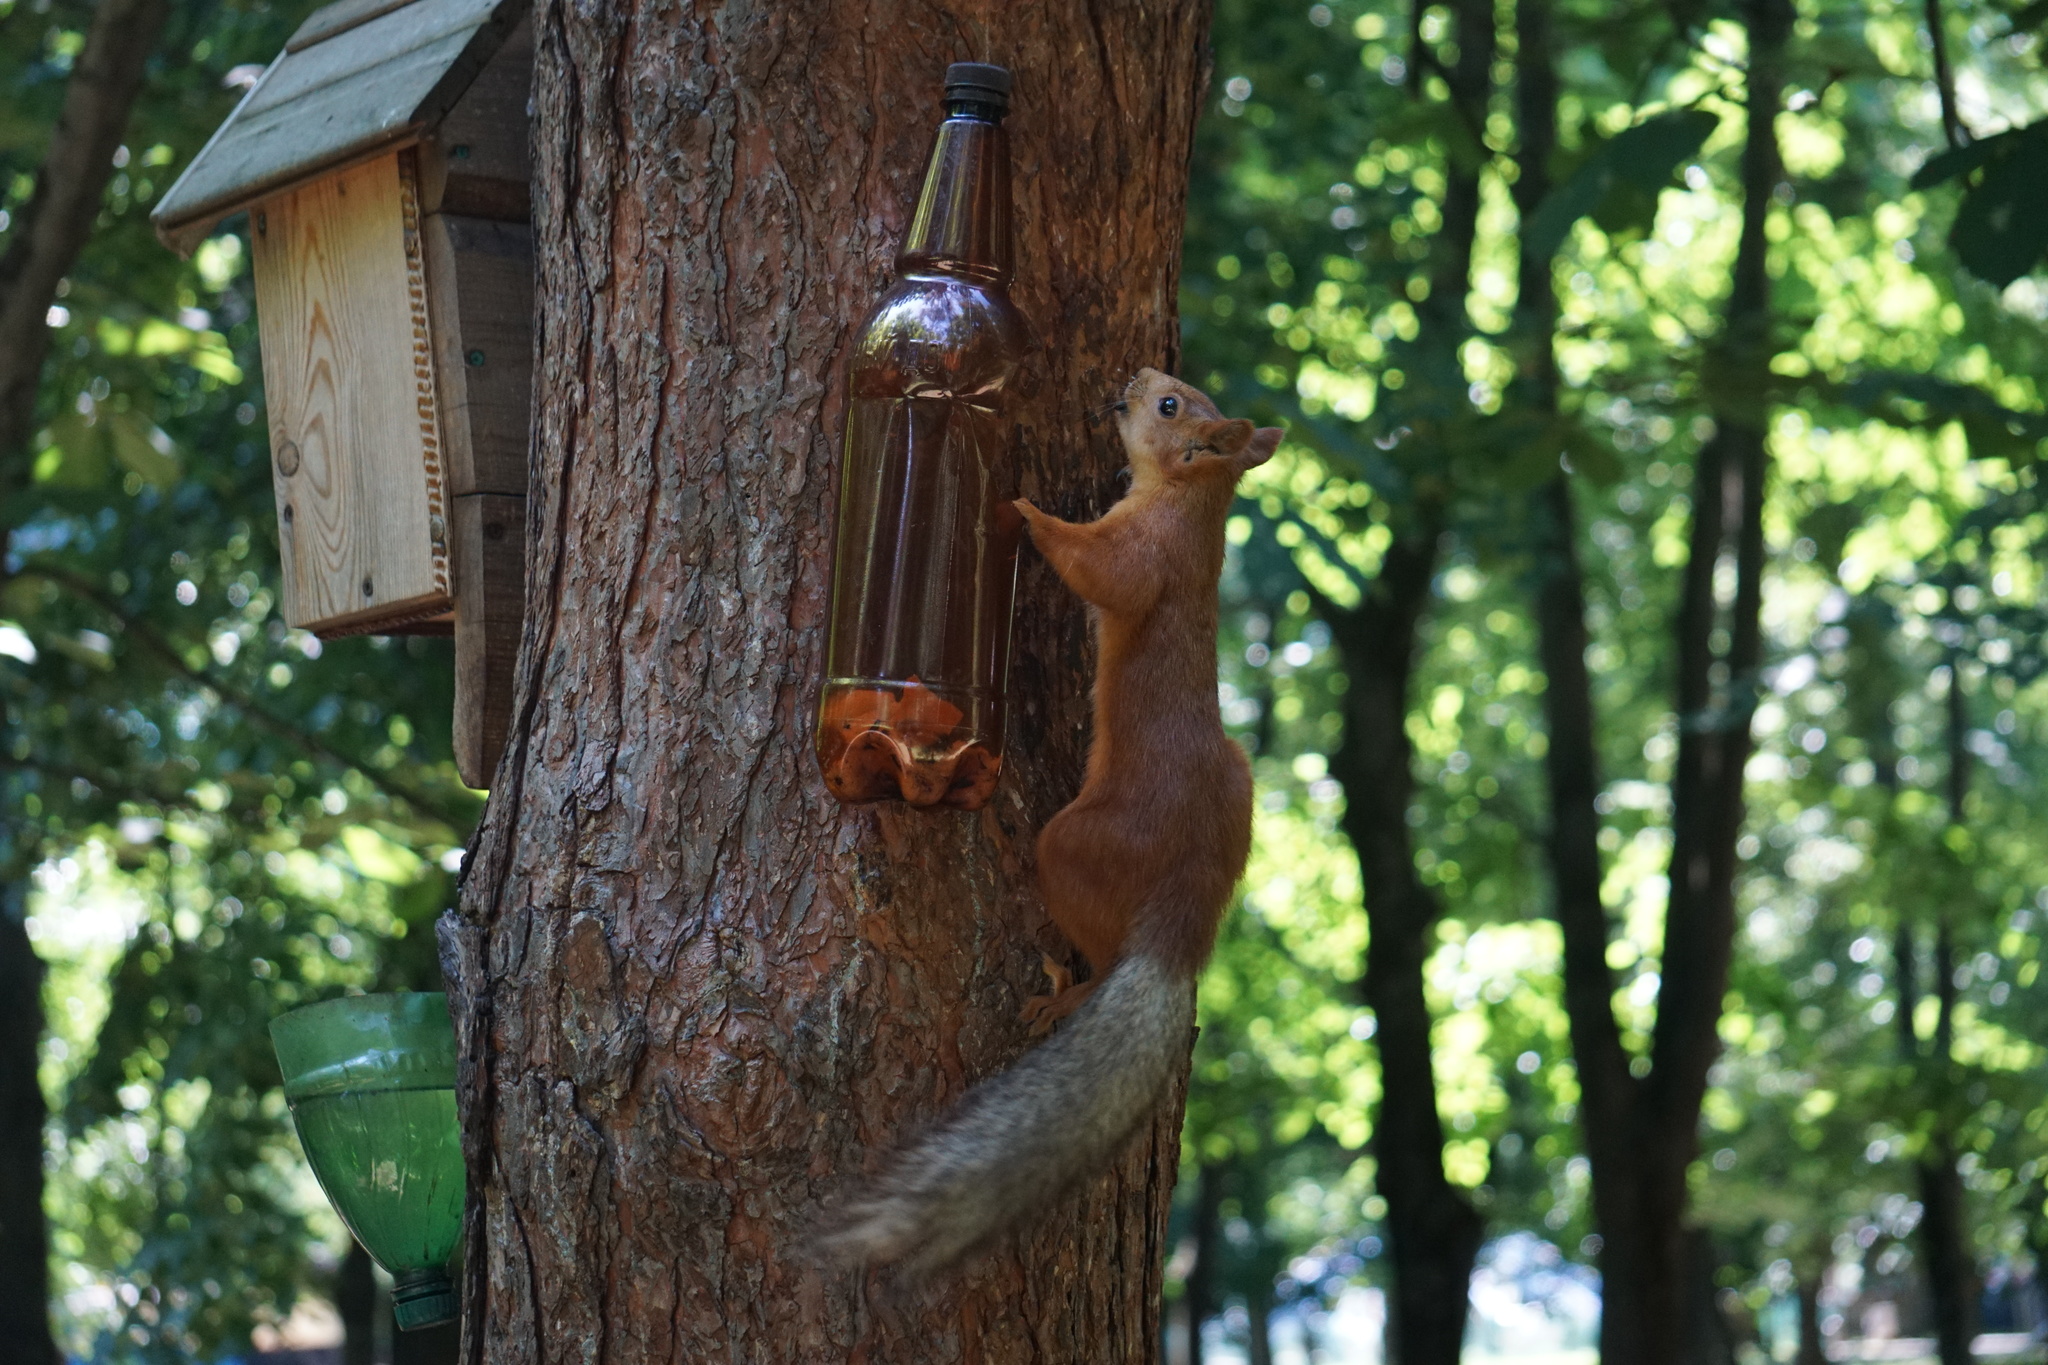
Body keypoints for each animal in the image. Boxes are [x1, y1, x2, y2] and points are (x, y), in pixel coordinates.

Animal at [815, 370, 1277, 1268]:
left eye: (1171, 406)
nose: (1134, 379)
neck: (1189, 500)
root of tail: (1187, 917)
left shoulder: (1147, 556)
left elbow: (1101, 571)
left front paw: (1025, 509)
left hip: (1076, 845)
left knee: (1094, 929)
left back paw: (1069, 992)